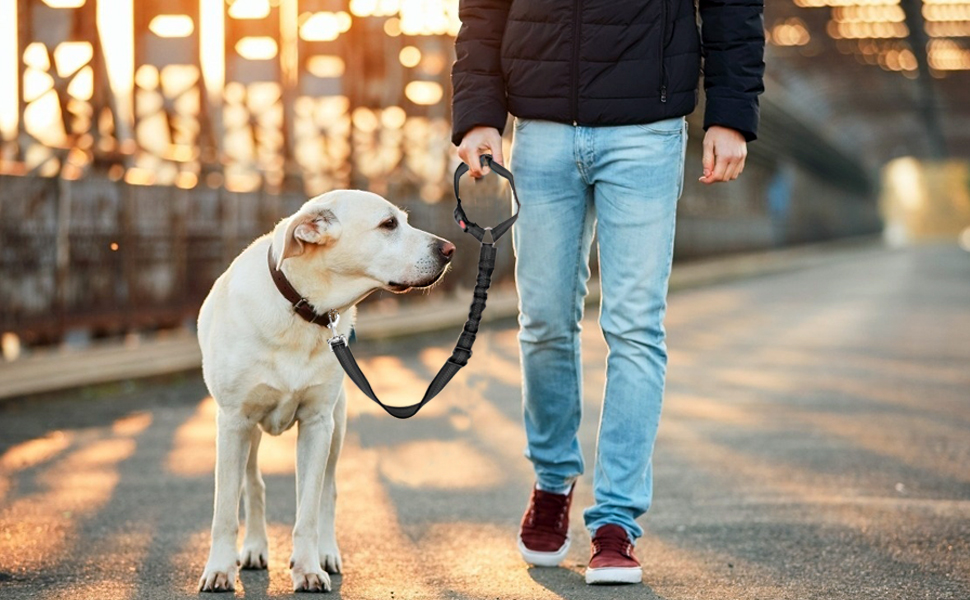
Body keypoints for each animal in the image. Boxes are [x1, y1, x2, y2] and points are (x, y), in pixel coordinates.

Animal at [199, 191, 456, 592]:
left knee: (327, 492)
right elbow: (224, 510)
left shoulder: (318, 424)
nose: (450, 249)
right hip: (249, 433)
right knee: (253, 485)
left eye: (403, 220)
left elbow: (308, 509)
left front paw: (307, 567)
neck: (301, 309)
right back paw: (255, 547)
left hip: (337, 425)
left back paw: (326, 552)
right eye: (388, 225)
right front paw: (219, 569)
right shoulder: (233, 423)